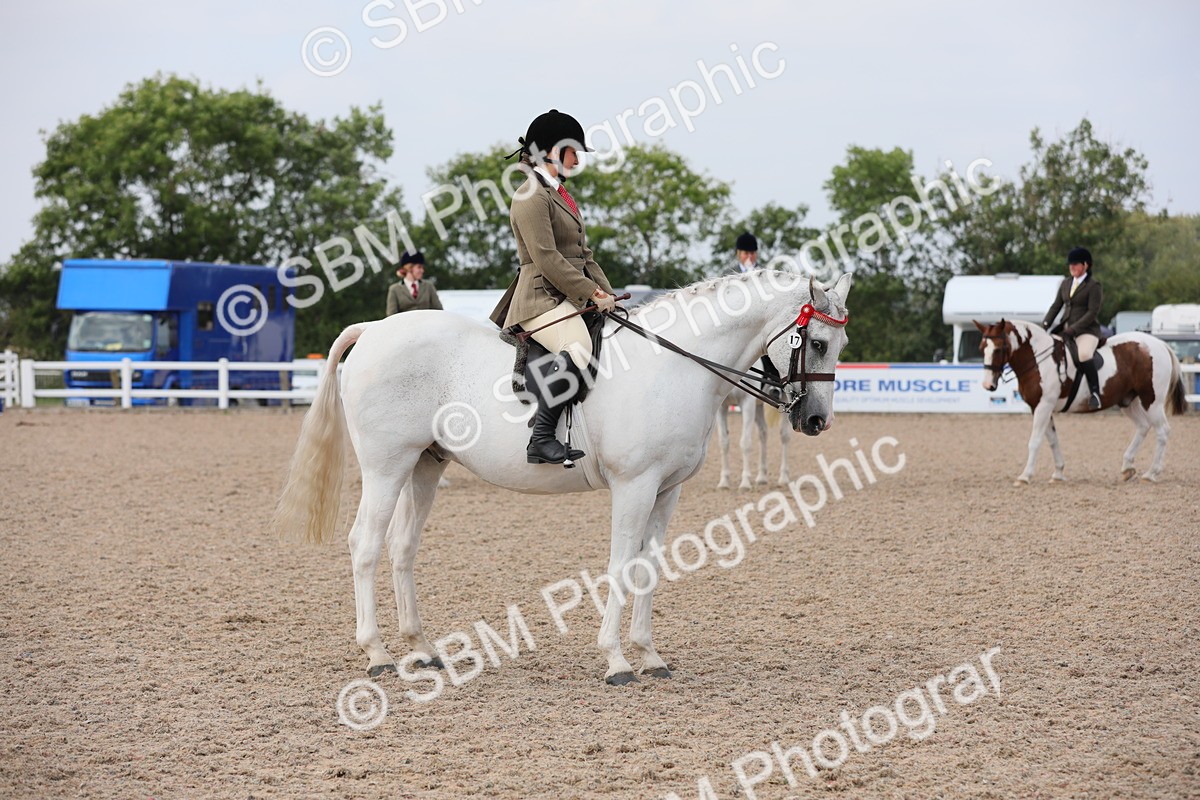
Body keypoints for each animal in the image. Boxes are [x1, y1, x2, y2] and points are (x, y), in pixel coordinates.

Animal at [274, 271, 853, 685]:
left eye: (840, 345)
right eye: (818, 343)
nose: (815, 421)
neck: (672, 367)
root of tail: (373, 330)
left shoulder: (667, 490)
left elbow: (651, 567)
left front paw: (650, 656)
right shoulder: (634, 486)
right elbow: (621, 566)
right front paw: (617, 661)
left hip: (424, 465)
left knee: (402, 548)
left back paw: (422, 649)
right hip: (386, 465)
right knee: (365, 545)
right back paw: (376, 654)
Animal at [974, 319, 1186, 485]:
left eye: (999, 349)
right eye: (982, 349)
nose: (988, 385)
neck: (1038, 360)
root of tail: (1160, 344)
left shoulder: (1044, 406)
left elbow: (1035, 441)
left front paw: (1025, 476)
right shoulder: (1040, 408)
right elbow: (1052, 440)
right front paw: (1058, 473)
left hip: (1152, 400)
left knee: (1162, 431)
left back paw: (1151, 473)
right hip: (1128, 401)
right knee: (1143, 426)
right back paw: (1127, 467)